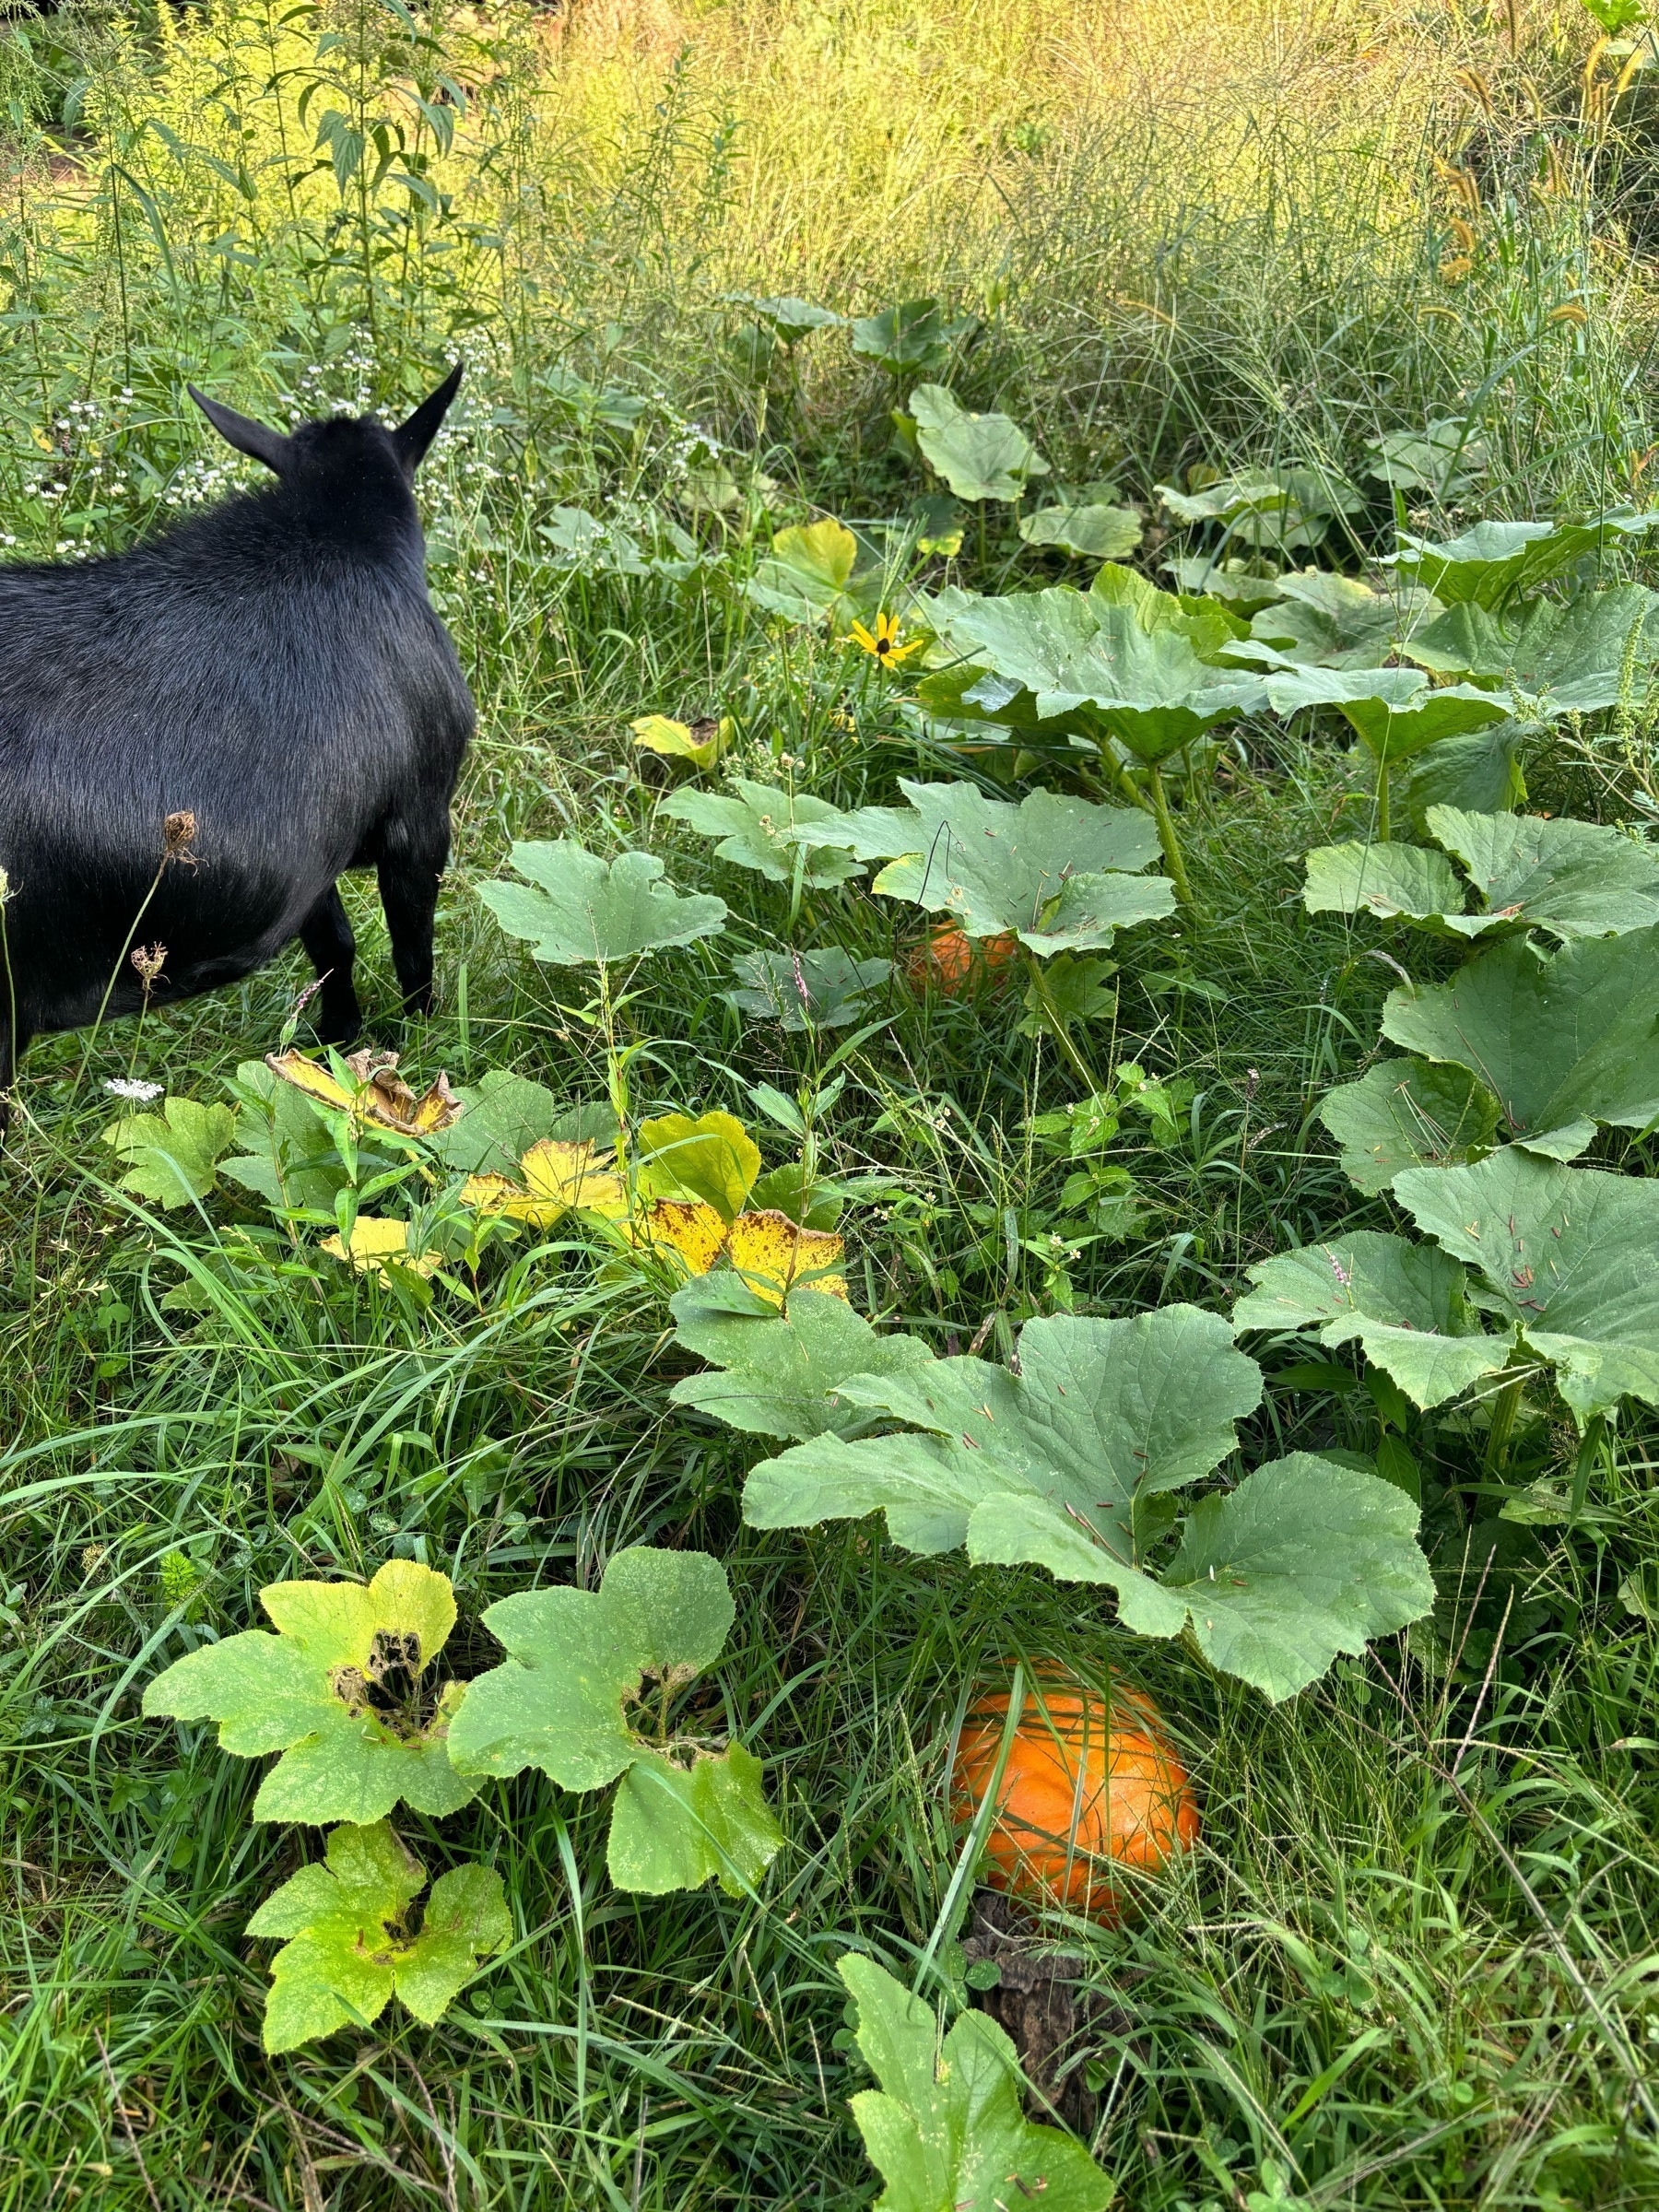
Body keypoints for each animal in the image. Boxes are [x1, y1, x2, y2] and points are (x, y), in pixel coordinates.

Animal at [0, 369, 473, 1114]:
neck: (337, 529)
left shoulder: (315, 848)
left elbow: (334, 945)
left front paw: (335, 1040)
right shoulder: (419, 818)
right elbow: (411, 949)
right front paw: (420, 1041)